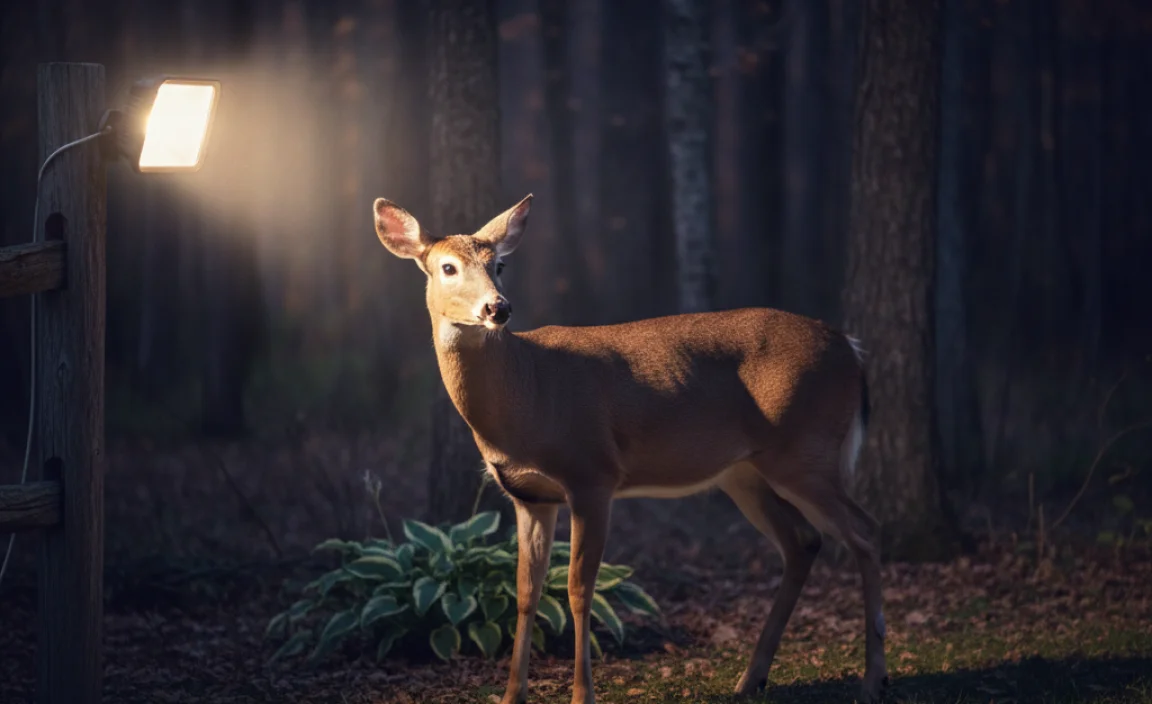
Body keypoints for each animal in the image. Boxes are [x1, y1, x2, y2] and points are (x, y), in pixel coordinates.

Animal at [372, 194, 888, 704]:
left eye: (498, 264)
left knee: (865, 530)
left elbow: (578, 588)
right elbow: (526, 592)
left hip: (804, 449)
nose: (498, 308)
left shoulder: (592, 474)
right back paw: (751, 679)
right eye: (447, 267)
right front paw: (511, 695)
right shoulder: (530, 496)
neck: (526, 394)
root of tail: (852, 347)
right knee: (804, 540)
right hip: (744, 473)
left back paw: (872, 678)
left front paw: (582, 695)